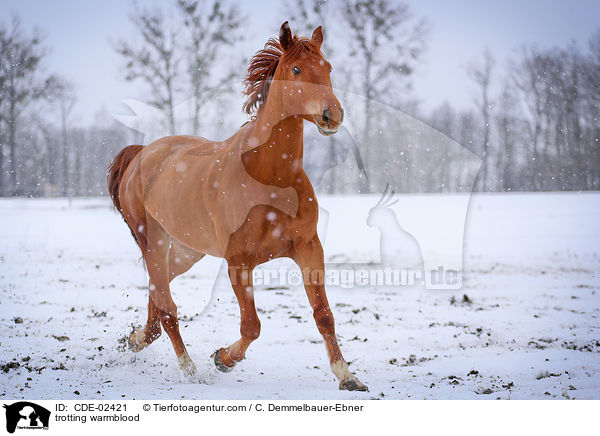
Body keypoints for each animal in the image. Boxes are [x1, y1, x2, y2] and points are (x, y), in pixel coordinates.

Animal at [108, 19, 368, 392]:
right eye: (296, 69)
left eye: (328, 67)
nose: (332, 115)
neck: (270, 177)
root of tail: (142, 152)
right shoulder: (238, 261)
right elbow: (252, 326)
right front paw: (223, 358)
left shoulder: (308, 248)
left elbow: (324, 316)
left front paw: (347, 376)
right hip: (152, 241)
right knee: (167, 308)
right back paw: (190, 370)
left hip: (186, 250)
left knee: (157, 299)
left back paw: (134, 339)